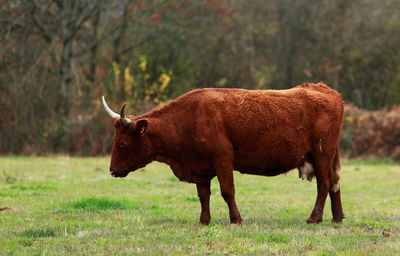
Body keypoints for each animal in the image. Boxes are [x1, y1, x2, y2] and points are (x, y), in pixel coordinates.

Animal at [102, 82, 344, 224]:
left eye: (122, 143)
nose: (112, 170)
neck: (188, 119)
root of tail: (325, 88)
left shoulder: (223, 160)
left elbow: (227, 192)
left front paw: (236, 219)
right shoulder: (200, 167)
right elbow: (203, 195)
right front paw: (204, 220)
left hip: (322, 153)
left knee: (323, 184)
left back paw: (315, 218)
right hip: (326, 155)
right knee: (334, 183)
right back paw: (337, 217)